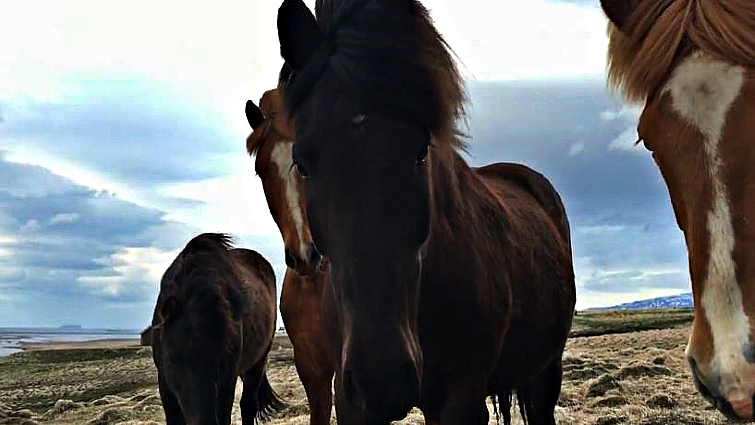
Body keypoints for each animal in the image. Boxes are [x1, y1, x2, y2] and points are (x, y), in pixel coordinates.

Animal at [148, 233, 286, 425]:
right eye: (171, 359)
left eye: (219, 359)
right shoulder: (165, 382)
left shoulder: (226, 379)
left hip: (258, 361)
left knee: (248, 404)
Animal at [276, 0, 577, 423]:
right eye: (301, 164)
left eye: (421, 150)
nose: (381, 377)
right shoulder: (349, 399)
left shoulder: (461, 399)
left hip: (546, 371)